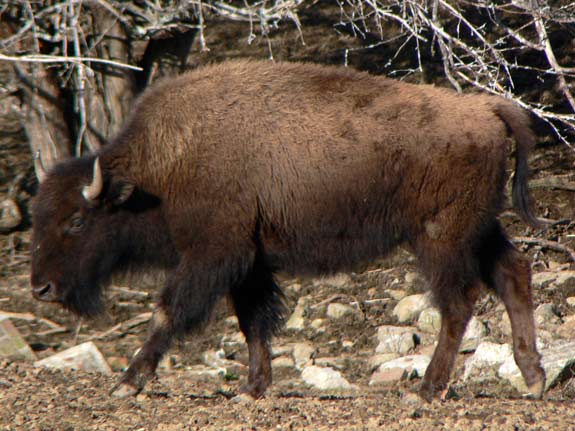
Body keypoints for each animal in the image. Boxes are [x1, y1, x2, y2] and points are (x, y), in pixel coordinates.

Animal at [30, 59, 545, 402]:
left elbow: (168, 310)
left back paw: (427, 390)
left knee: (458, 302)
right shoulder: (249, 263)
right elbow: (253, 322)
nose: (41, 288)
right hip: (479, 228)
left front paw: (128, 382)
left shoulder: (213, 254)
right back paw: (533, 379)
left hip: (441, 237)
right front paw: (253, 389)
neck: (158, 169)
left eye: (76, 221)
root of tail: (485, 107)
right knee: (512, 274)